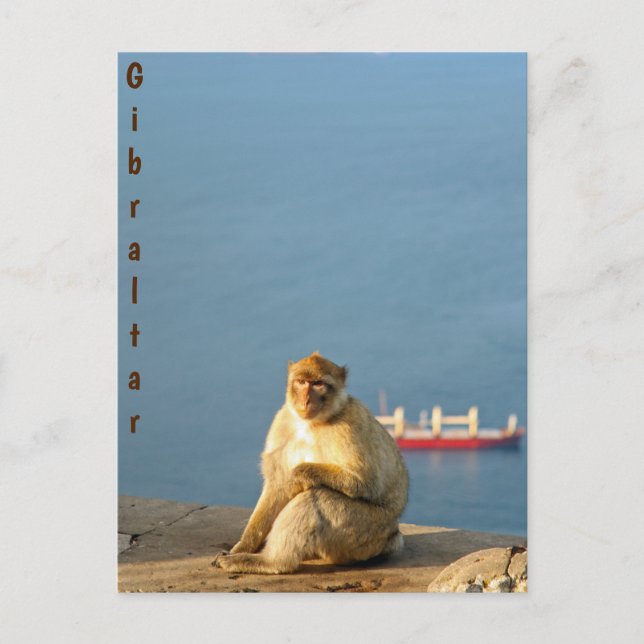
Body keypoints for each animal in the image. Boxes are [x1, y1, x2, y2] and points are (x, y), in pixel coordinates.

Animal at [213, 351, 409, 574]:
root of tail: (392, 537)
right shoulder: (282, 420)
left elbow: (366, 482)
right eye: (301, 382)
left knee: (316, 497)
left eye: (318, 384)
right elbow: (277, 486)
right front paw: (243, 546)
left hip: (367, 531)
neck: (311, 423)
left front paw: (299, 473)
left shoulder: (350, 425)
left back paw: (272, 562)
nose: (306, 400)